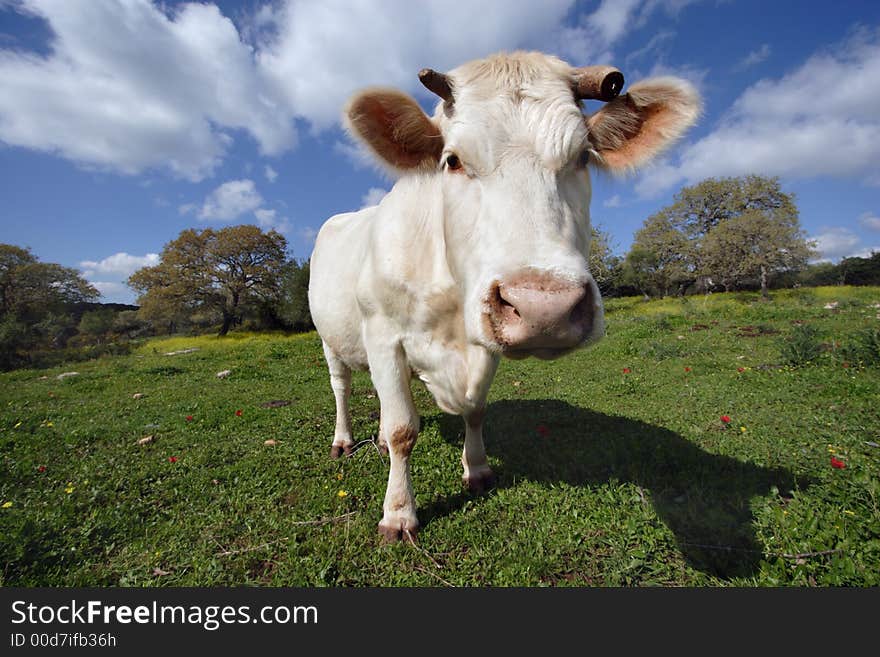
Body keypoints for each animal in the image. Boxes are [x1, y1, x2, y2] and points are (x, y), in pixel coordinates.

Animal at [310, 51, 700, 540]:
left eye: (582, 156)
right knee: (341, 387)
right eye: (452, 160)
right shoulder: (384, 337)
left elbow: (475, 409)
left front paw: (476, 470)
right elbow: (402, 429)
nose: (544, 308)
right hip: (331, 339)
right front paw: (398, 513)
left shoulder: (485, 344)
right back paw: (343, 440)